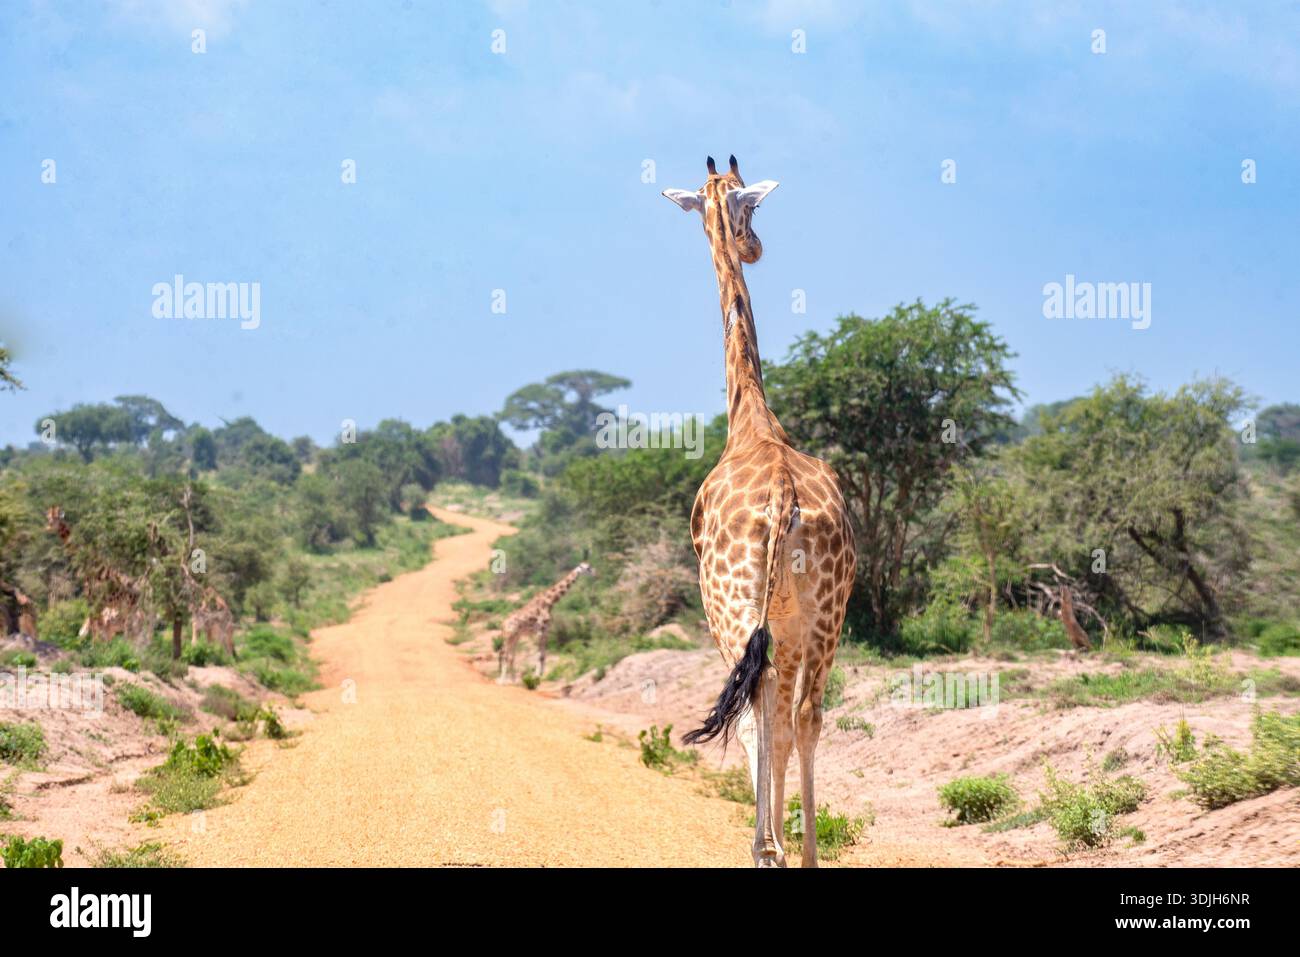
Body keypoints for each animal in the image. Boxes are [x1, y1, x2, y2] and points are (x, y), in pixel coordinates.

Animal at [662, 155, 856, 867]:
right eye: (751, 212)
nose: (756, 247)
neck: (751, 421)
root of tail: (781, 502)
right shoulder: (791, 624)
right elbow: (782, 713)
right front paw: (784, 840)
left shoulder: (756, 619)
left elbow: (756, 712)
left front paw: (767, 841)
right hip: (825, 613)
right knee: (805, 714)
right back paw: (804, 853)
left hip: (730, 607)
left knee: (752, 709)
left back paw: (766, 848)